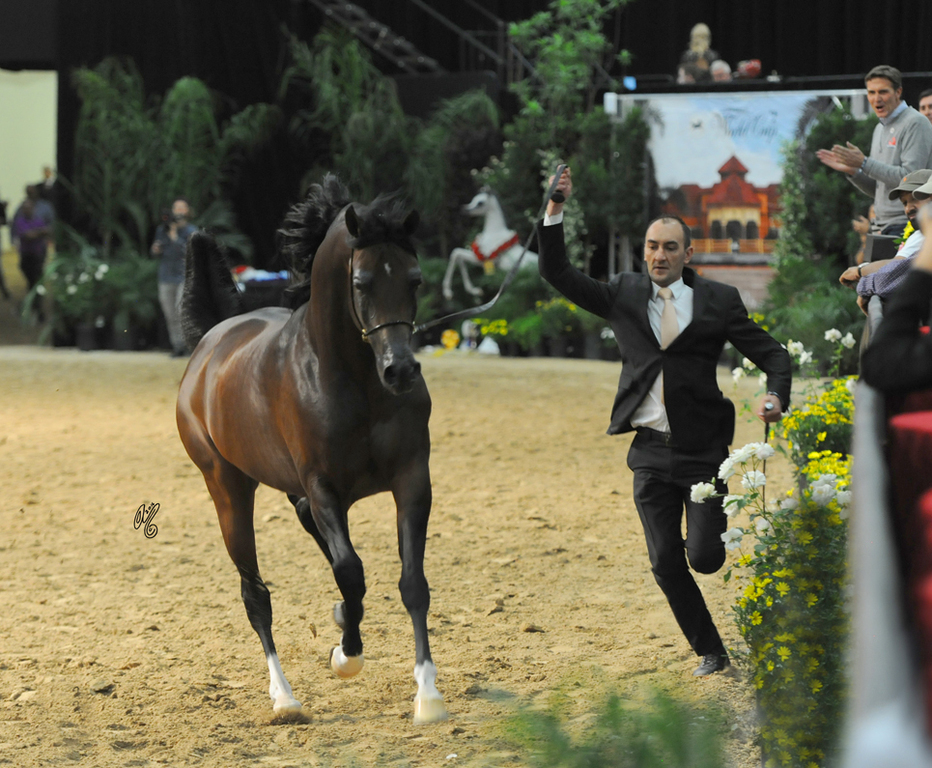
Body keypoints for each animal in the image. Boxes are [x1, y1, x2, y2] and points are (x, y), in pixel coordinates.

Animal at [176, 174, 447, 724]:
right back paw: (285, 698)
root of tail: (211, 340)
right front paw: (347, 657)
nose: (402, 371)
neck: (354, 378)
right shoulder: (323, 489)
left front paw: (427, 694)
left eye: (415, 280)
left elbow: (411, 582)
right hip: (228, 487)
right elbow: (351, 573)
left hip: (293, 491)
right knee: (255, 594)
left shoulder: (411, 479)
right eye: (361, 283)